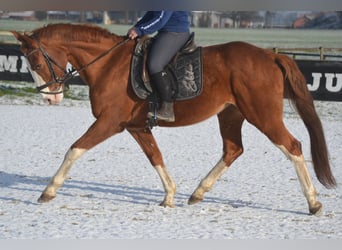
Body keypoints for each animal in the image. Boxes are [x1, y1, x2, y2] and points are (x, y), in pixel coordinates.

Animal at [11, 23, 336, 215]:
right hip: (231, 114)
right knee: (233, 150)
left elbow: (74, 149)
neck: (109, 64)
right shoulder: (136, 127)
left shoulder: (109, 122)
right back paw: (198, 193)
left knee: (292, 146)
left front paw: (48, 190)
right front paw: (169, 195)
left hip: (262, 114)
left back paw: (313, 202)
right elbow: (156, 156)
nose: (50, 98)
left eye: (36, 63)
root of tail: (270, 56)